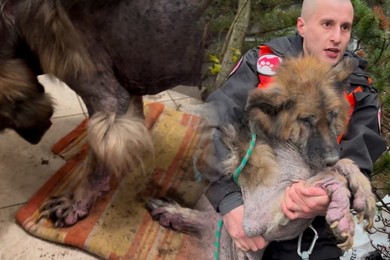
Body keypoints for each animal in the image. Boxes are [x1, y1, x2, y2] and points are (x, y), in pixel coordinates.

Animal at [0, 0, 212, 226]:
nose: (35, 139)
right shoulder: (127, 96)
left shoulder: (109, 102)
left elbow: (94, 164)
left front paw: (76, 202)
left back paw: (176, 213)